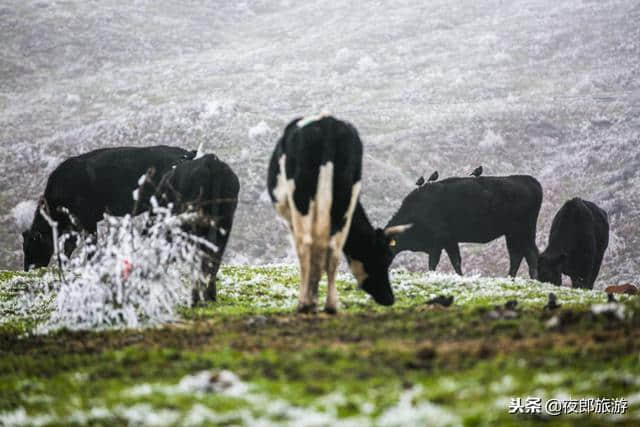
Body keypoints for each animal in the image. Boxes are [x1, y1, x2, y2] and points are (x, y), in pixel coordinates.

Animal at [22, 145, 195, 270]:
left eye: (32, 247)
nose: (28, 269)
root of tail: (187, 154)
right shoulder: (75, 225)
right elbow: (68, 247)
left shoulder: (88, 221)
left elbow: (91, 246)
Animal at [155, 154, 240, 304]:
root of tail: (213, 162)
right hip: (226, 222)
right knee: (215, 256)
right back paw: (210, 296)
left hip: (195, 223)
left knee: (198, 258)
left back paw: (194, 299)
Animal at [266, 116, 410, 314]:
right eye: (385, 257)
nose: (389, 298)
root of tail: (328, 124)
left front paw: (311, 298)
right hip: (346, 200)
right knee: (333, 250)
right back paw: (331, 304)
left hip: (302, 201)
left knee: (306, 246)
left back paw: (305, 303)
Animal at [382, 176, 544, 280]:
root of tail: (529, 180)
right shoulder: (450, 241)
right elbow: (456, 261)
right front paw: (460, 276)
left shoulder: (438, 240)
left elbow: (433, 262)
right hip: (512, 234)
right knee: (517, 255)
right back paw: (511, 278)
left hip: (523, 231)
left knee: (529, 253)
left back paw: (532, 279)